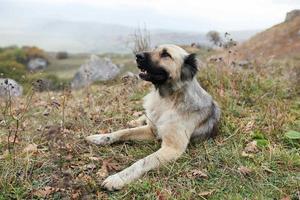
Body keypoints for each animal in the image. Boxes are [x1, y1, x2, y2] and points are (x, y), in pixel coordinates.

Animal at [85, 43, 220, 191]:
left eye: (166, 54)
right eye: (155, 49)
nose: (138, 56)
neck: (167, 99)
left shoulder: (171, 148)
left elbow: (143, 161)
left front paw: (118, 178)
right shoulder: (151, 131)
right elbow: (123, 132)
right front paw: (101, 138)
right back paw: (134, 121)